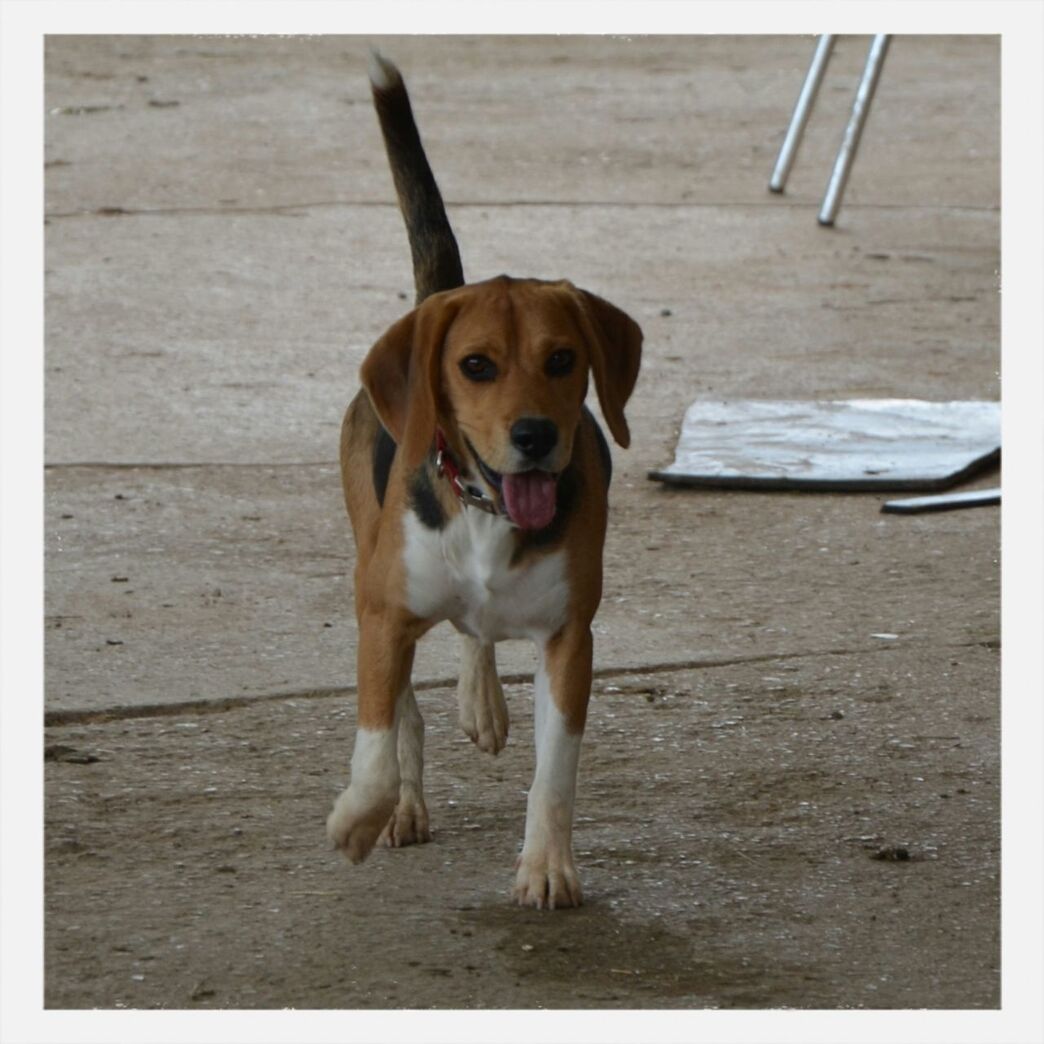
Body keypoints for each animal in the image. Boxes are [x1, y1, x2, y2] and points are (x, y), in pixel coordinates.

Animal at [325, 52, 638, 910]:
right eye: (476, 366)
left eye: (562, 359)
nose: (534, 437)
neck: (488, 516)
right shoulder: (383, 611)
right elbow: (378, 734)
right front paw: (361, 815)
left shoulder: (570, 639)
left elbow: (554, 774)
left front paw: (547, 866)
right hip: (371, 563)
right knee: (407, 707)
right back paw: (405, 804)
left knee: (475, 638)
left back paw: (482, 699)